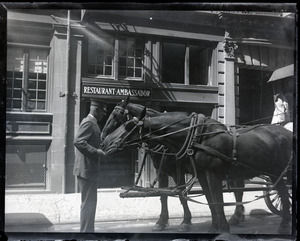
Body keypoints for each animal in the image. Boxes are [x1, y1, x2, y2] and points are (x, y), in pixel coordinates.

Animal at [101, 109, 292, 233]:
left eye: (127, 125)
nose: (104, 142)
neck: (196, 136)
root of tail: (287, 133)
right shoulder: (200, 174)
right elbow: (208, 201)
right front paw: (213, 227)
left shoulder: (211, 173)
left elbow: (215, 201)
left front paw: (221, 229)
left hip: (278, 171)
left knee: (282, 194)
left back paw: (282, 224)